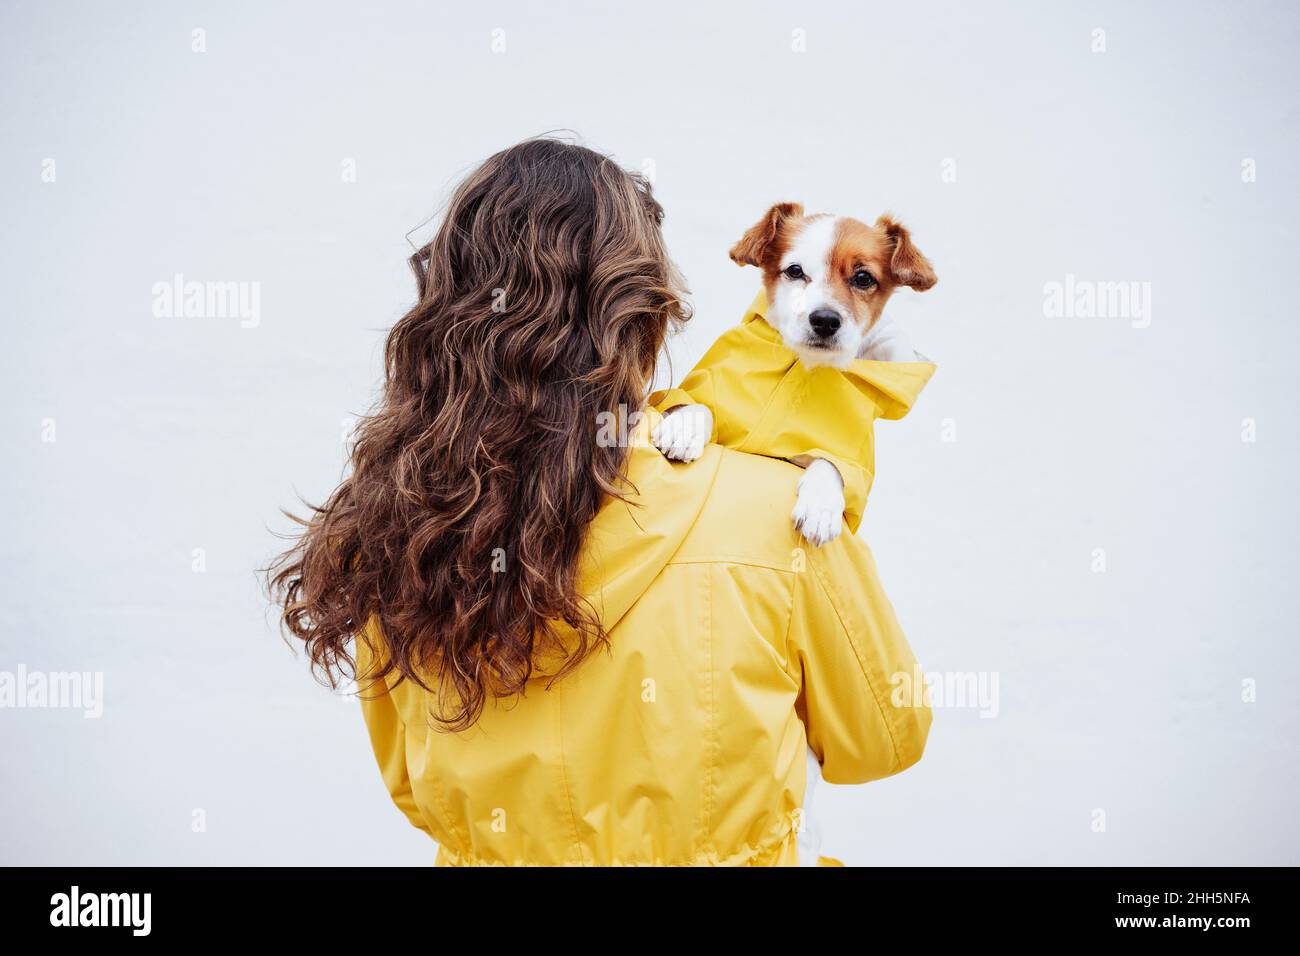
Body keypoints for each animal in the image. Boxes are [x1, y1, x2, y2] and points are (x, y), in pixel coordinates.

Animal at [655, 201, 941, 546]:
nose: (825, 320)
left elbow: (830, 463)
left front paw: (821, 507)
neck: (805, 363)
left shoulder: (843, 457)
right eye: (795, 271)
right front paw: (684, 428)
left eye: (863, 278)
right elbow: (697, 403)